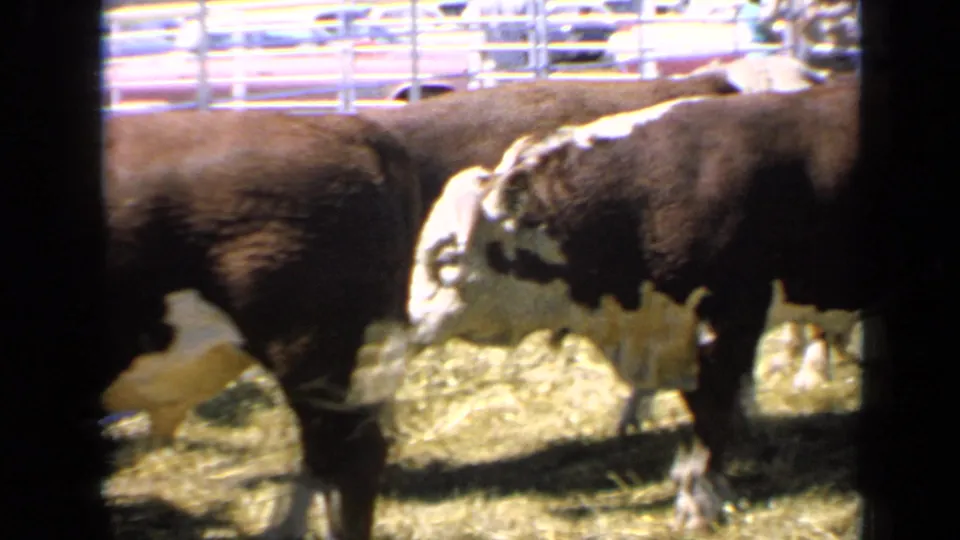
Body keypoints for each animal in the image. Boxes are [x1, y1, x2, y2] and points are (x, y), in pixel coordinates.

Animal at [405, 82, 877, 530]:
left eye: (446, 259)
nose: (411, 324)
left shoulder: (728, 323)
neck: (640, 201)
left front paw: (701, 500)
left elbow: (713, 411)